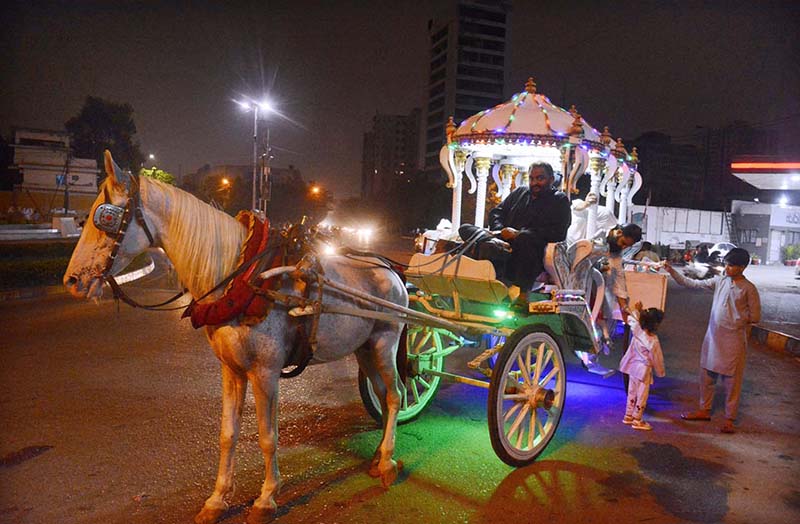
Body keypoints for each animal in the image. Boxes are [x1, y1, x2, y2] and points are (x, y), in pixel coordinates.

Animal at [64, 151, 406, 524]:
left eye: (104, 218)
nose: (71, 281)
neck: (244, 278)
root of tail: (390, 269)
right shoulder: (231, 370)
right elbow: (228, 434)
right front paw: (217, 499)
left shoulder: (265, 373)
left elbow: (268, 436)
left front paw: (267, 497)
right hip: (363, 349)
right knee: (381, 392)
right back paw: (378, 455)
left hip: (384, 343)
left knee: (395, 395)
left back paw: (388, 462)